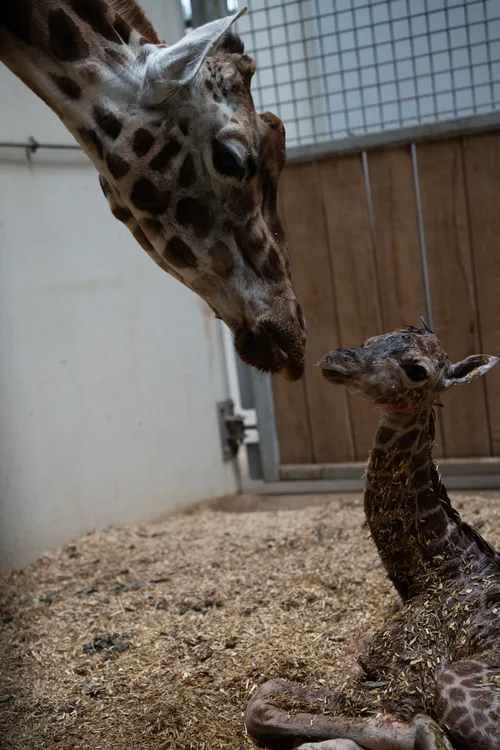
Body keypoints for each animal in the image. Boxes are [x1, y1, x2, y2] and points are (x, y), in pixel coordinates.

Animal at [245, 324, 500, 750]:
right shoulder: (371, 655)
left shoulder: (411, 675)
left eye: (417, 369)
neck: (435, 572)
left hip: (454, 683)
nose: (339, 358)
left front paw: (418, 732)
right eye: (371, 340)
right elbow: (265, 694)